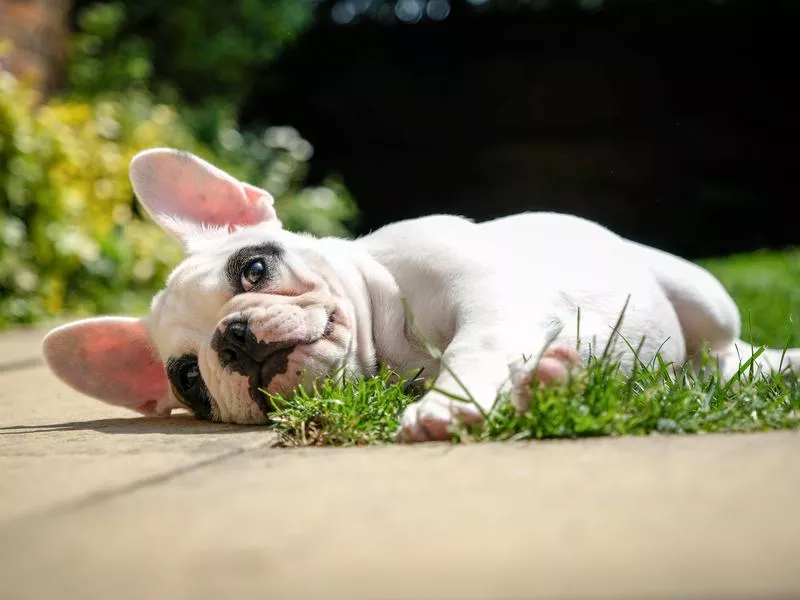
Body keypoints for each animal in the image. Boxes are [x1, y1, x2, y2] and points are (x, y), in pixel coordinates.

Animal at [42, 149, 800, 440]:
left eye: (252, 269)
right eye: (190, 383)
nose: (232, 338)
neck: (391, 347)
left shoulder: (490, 300)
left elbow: (475, 347)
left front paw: (443, 407)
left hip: (704, 297)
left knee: (721, 354)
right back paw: (559, 381)